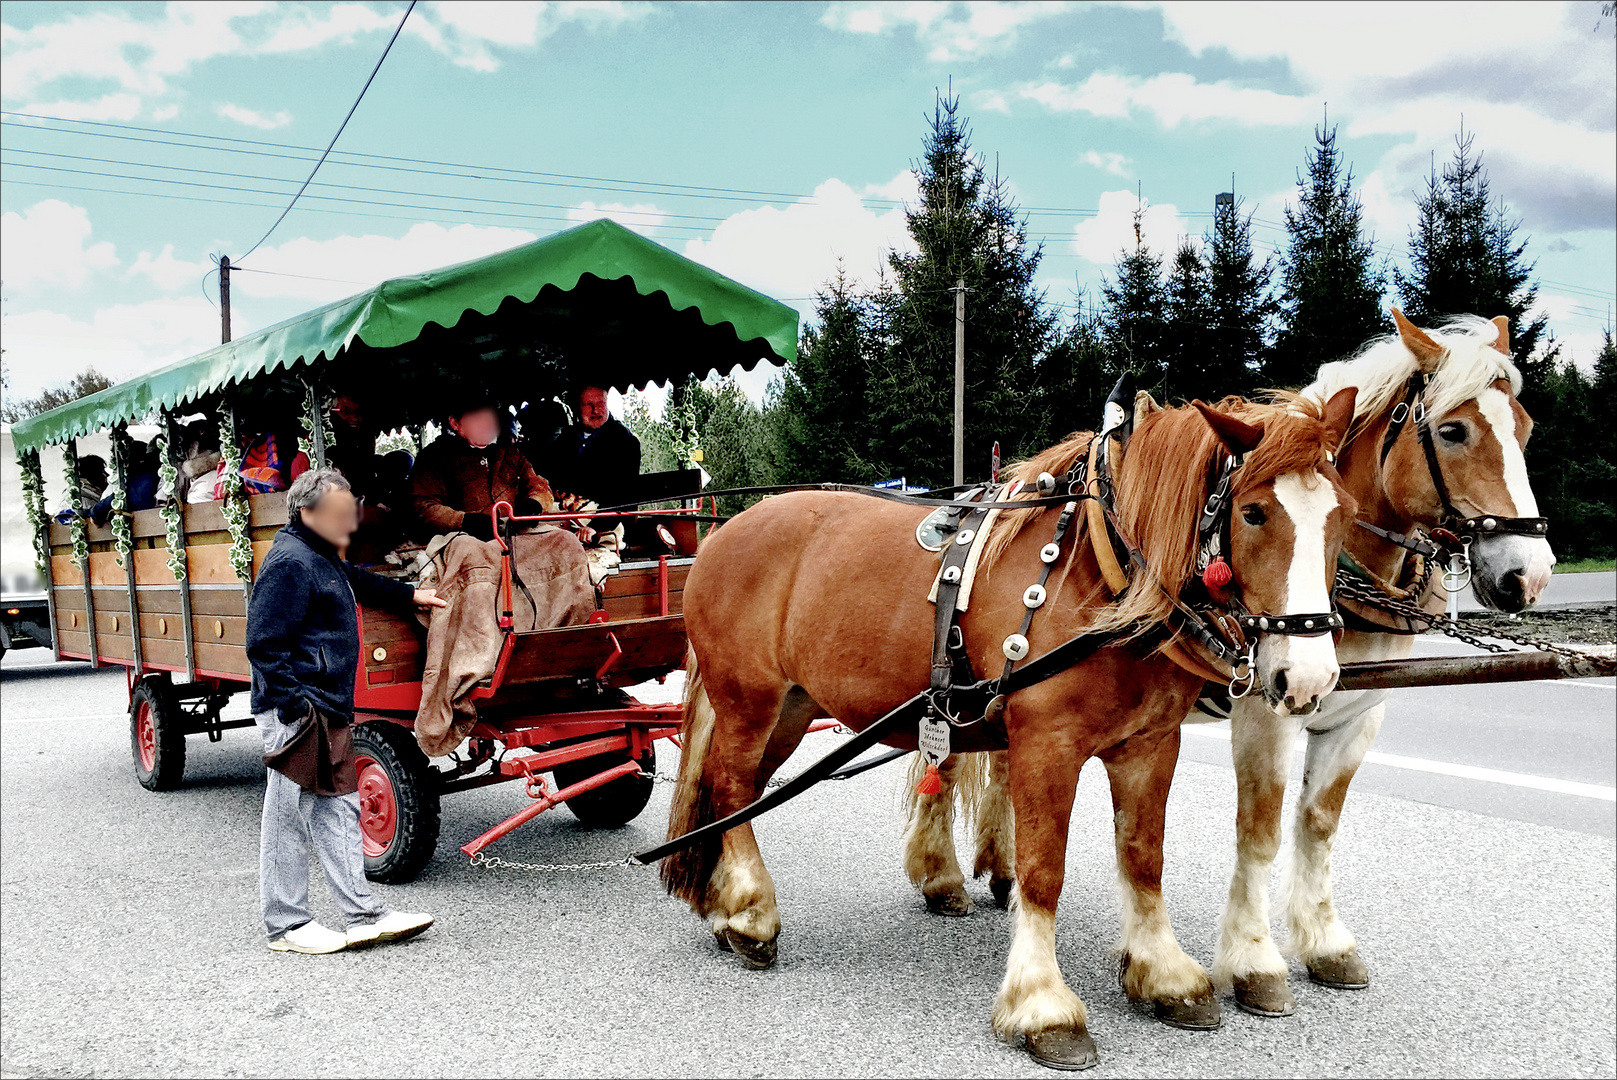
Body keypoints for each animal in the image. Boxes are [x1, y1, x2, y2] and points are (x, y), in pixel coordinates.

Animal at [662, 392, 1358, 1067]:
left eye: (1344, 516)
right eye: (1254, 513)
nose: (1310, 677)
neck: (1106, 571)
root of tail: (726, 531)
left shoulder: (1151, 745)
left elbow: (1143, 859)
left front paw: (1165, 975)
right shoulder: (1046, 746)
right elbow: (1042, 871)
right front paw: (1044, 1006)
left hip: (792, 707)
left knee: (739, 793)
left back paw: (725, 907)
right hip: (749, 699)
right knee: (730, 786)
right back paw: (751, 914)